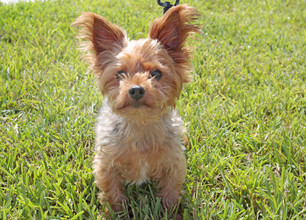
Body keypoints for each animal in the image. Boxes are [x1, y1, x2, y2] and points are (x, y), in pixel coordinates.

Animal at [73, 3, 200, 218]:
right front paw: (113, 214)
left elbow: (170, 193)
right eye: (120, 74)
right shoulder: (106, 165)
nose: (136, 89)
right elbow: (112, 194)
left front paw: (173, 214)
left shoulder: (173, 164)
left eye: (156, 73)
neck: (140, 124)